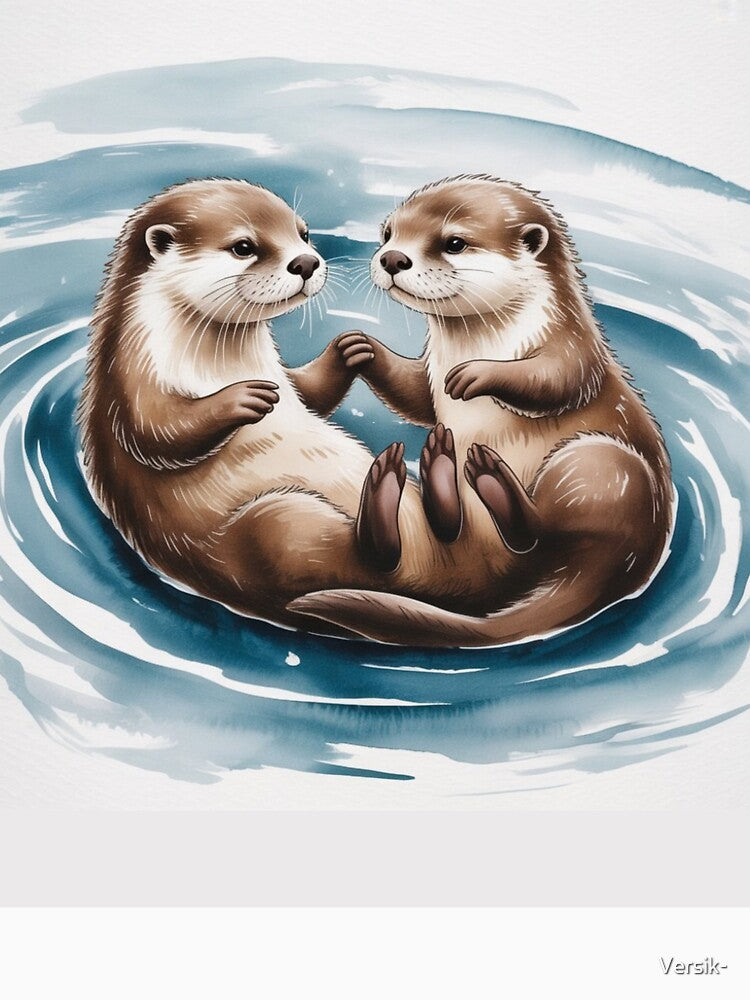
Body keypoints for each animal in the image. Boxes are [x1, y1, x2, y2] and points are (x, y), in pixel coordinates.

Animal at [289, 175, 674, 645]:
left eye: (454, 242)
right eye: (388, 233)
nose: (392, 258)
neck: (484, 341)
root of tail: (632, 561)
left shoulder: (573, 346)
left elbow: (555, 381)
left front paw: (476, 375)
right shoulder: (431, 369)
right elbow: (417, 395)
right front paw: (361, 348)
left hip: (602, 468)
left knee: (544, 534)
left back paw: (493, 481)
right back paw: (442, 474)